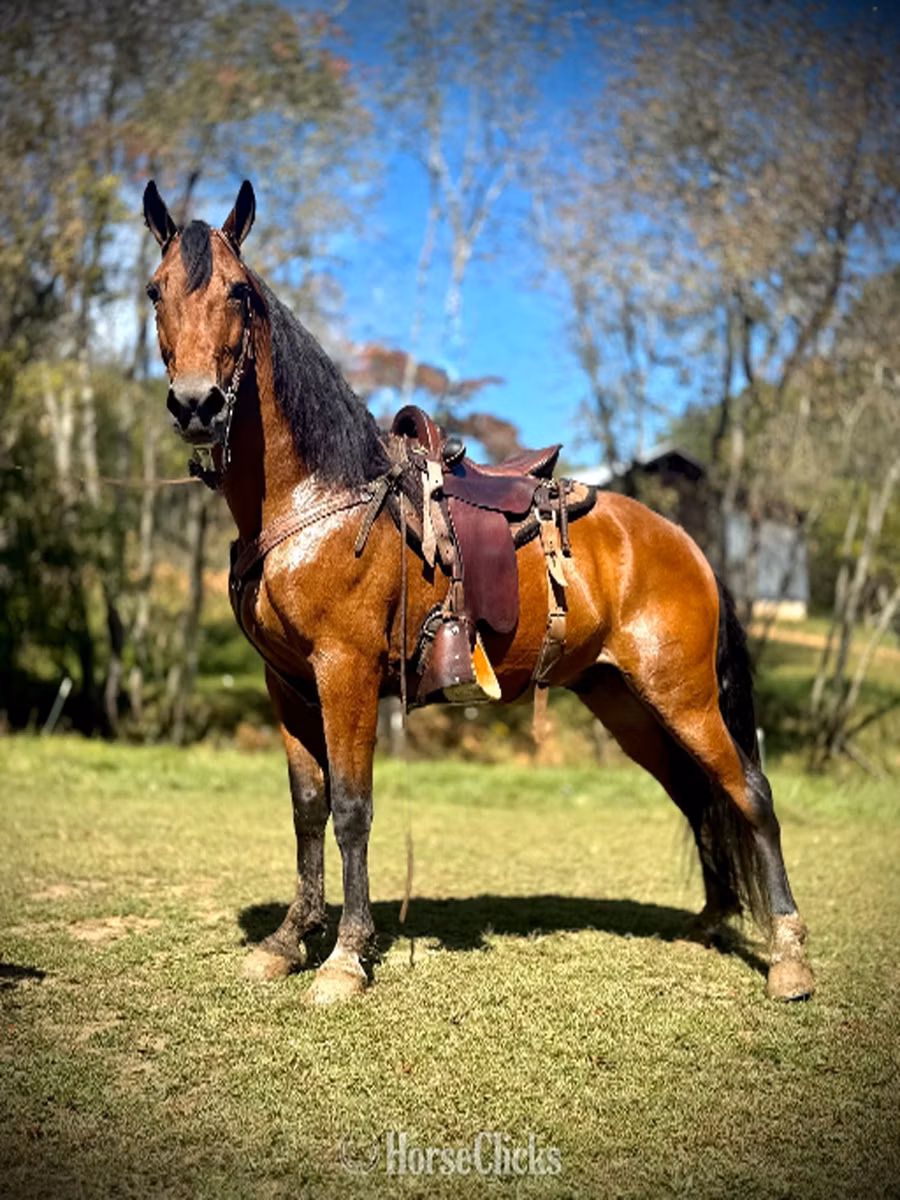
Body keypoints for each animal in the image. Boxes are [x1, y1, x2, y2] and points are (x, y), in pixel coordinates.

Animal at [141, 179, 815, 1006]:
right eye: (155, 290)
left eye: (238, 290)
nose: (196, 404)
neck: (318, 498)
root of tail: (687, 544)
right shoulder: (288, 683)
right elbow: (306, 810)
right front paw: (288, 940)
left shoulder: (345, 674)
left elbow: (351, 809)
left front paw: (345, 956)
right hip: (628, 704)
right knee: (698, 795)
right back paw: (712, 924)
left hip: (683, 695)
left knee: (750, 793)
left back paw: (787, 952)